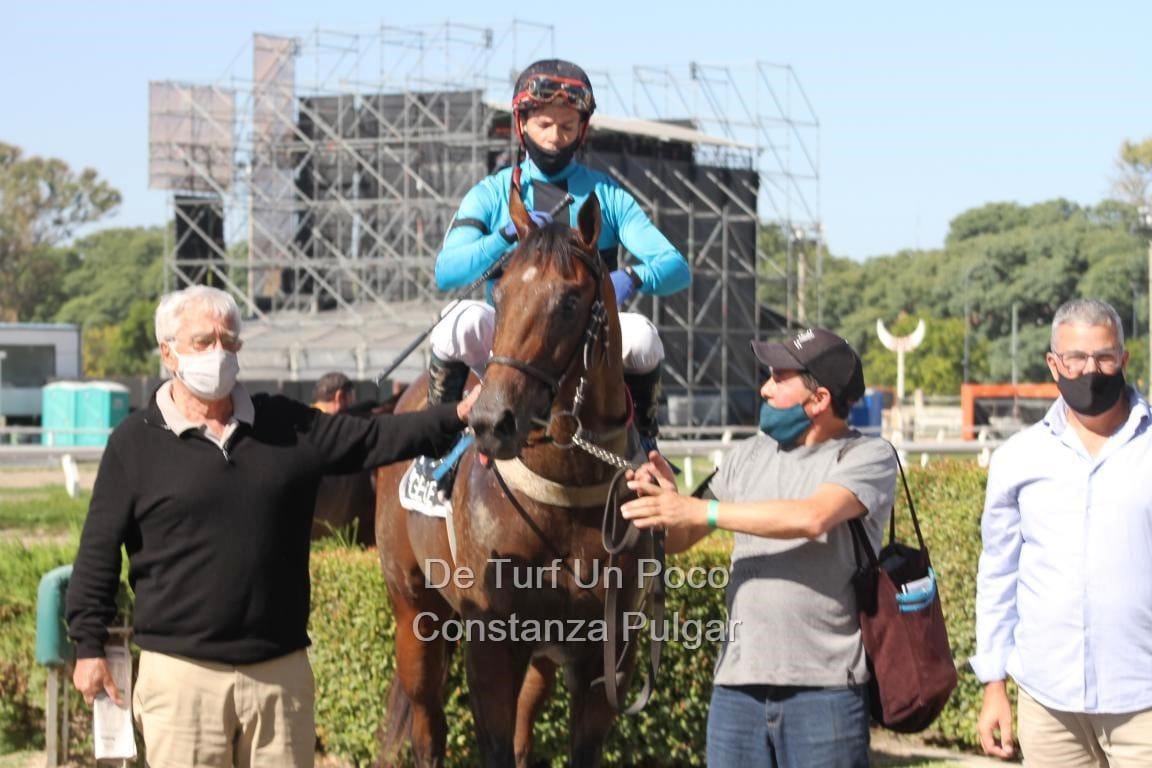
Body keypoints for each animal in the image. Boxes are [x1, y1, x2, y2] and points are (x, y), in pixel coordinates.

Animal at [374, 183, 653, 767]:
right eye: (500, 295)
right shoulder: (493, 643)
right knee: (428, 725)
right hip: (415, 612)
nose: (490, 421)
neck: (563, 492)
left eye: (569, 302)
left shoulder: (608, 654)